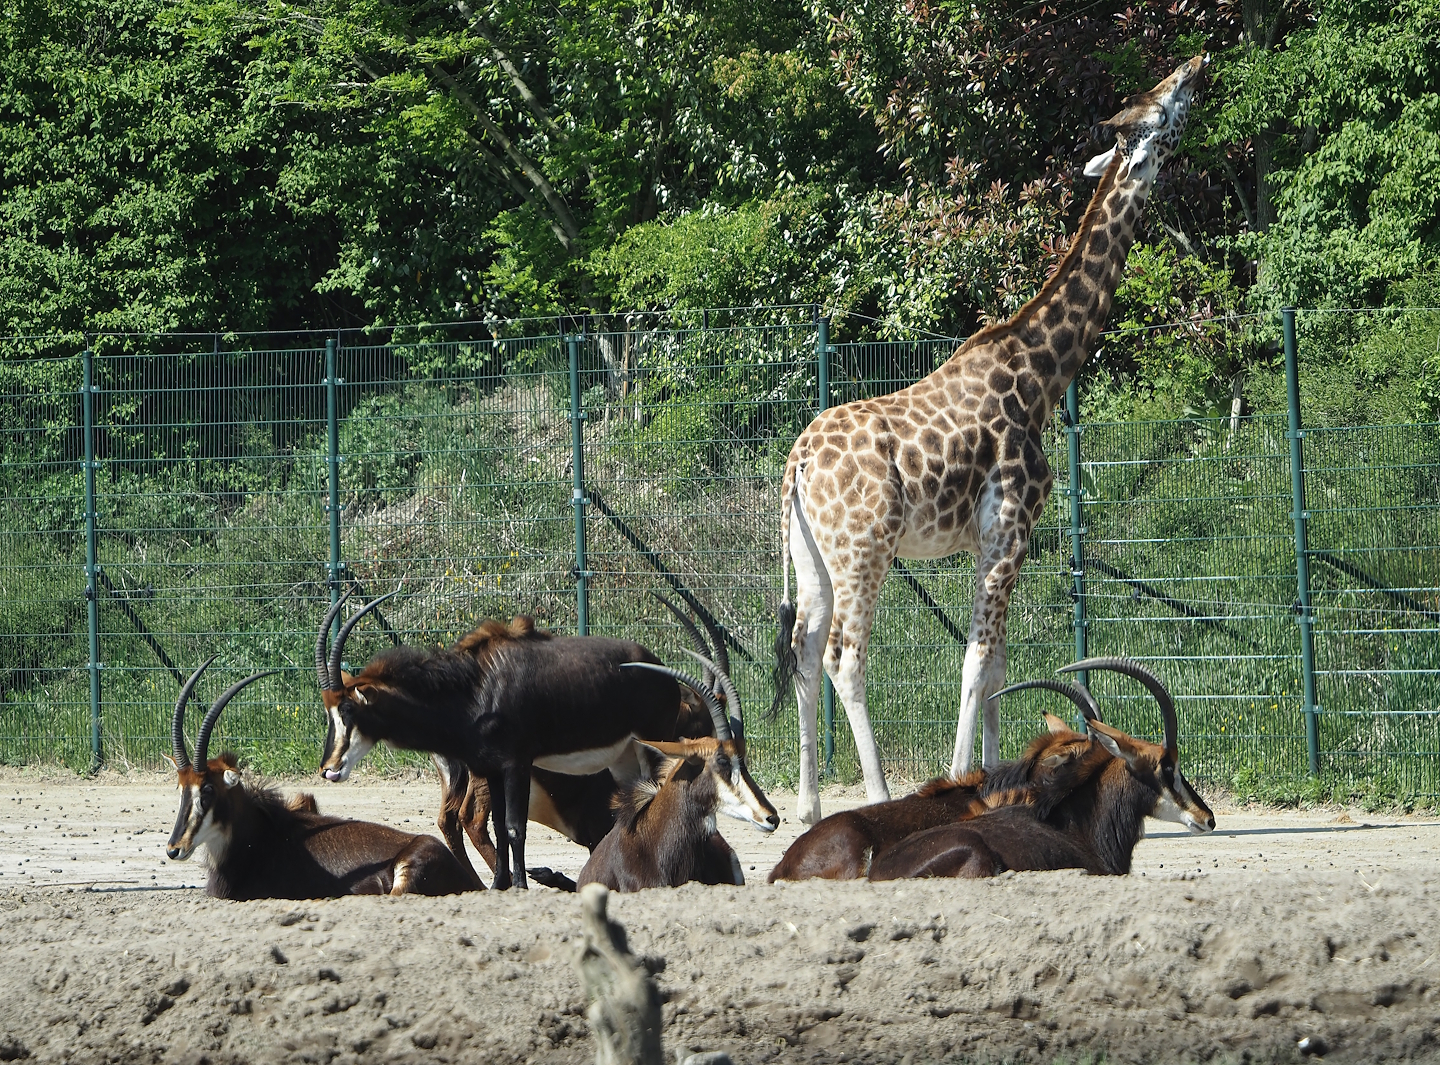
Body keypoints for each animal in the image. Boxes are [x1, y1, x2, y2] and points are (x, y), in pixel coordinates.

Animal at [771, 57, 1207, 824]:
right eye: (1161, 110)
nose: (1196, 66)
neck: (1041, 374)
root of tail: (796, 465)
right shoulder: (1009, 530)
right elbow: (976, 662)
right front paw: (957, 778)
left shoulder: (993, 542)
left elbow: (999, 661)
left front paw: (1004, 779)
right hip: (864, 550)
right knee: (844, 657)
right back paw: (876, 796)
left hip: (814, 556)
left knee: (803, 647)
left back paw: (808, 806)